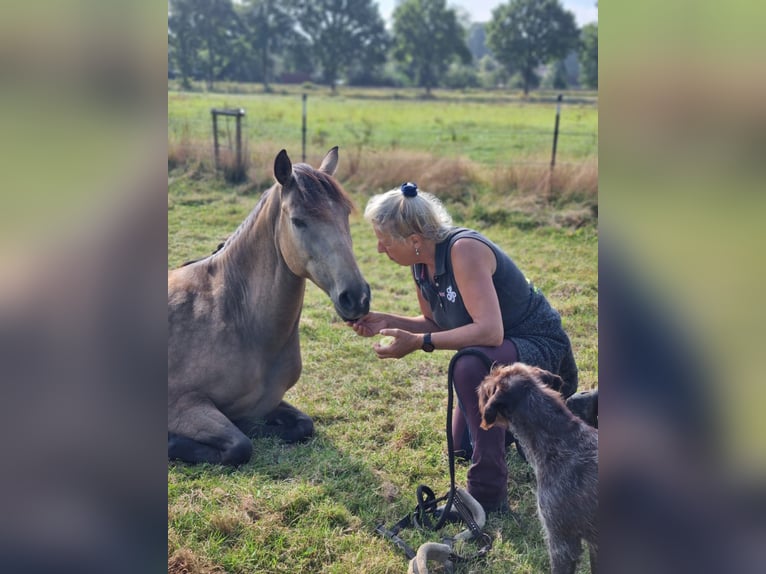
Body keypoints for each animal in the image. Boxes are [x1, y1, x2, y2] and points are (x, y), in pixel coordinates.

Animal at [168, 147, 370, 465]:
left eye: (345, 214)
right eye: (298, 220)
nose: (357, 297)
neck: (233, 315)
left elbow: (304, 424)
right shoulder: (182, 403)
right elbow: (240, 445)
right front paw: (172, 442)